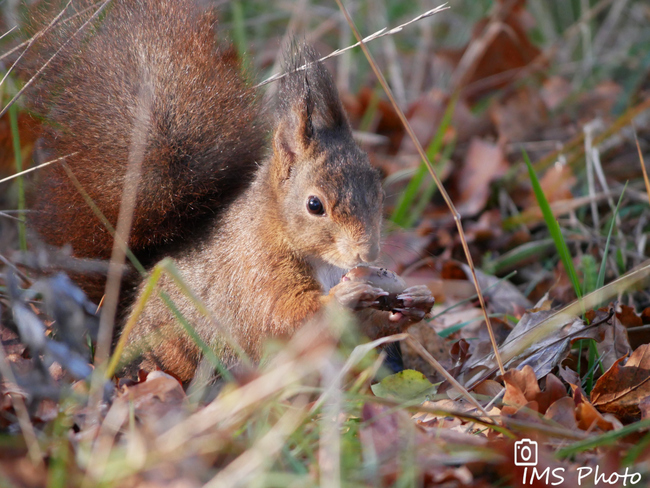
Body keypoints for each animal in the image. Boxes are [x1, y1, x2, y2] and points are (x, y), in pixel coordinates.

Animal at [25, 0, 432, 382]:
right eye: (314, 205)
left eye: (378, 190)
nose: (368, 253)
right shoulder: (257, 275)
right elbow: (285, 318)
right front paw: (342, 299)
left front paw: (417, 300)